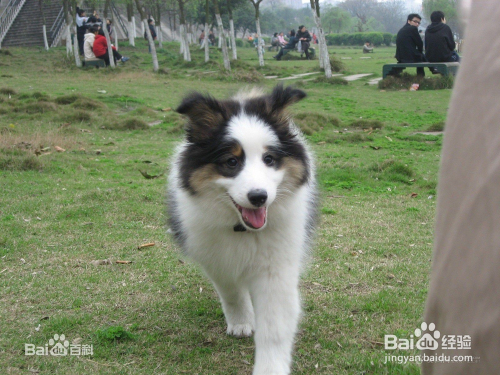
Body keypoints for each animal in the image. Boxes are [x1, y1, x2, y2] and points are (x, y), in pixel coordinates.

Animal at [167, 86, 316, 375]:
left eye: (269, 159)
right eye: (231, 162)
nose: (259, 197)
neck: (243, 229)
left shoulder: (276, 267)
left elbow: (275, 325)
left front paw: (270, 368)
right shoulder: (216, 257)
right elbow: (231, 292)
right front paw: (241, 322)